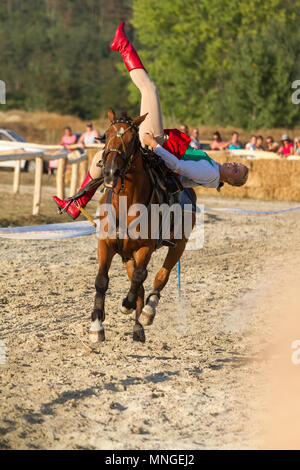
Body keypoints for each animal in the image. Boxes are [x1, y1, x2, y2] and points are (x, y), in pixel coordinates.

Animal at [89, 109, 197, 346]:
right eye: (106, 134)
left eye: (131, 139)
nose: (110, 172)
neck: (126, 204)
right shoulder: (106, 244)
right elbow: (102, 281)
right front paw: (96, 325)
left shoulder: (144, 248)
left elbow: (140, 278)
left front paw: (127, 306)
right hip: (128, 254)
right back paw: (138, 325)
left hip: (179, 244)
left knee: (159, 278)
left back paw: (147, 313)